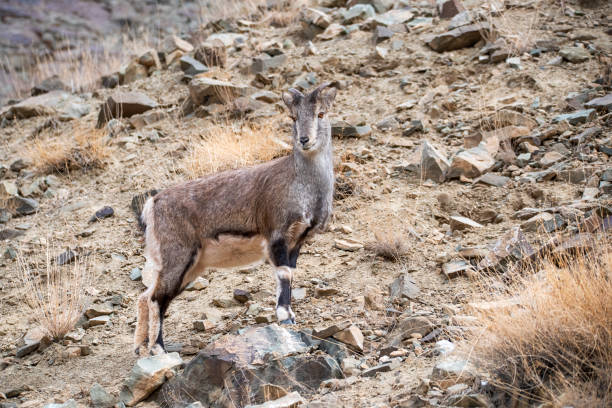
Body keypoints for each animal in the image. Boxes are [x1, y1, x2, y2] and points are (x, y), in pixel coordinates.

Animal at [133, 82, 340, 354]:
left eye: (321, 114)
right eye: (293, 117)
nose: (304, 140)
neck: (303, 185)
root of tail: (153, 205)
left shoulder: (297, 241)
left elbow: (291, 273)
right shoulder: (277, 236)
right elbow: (284, 274)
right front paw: (285, 316)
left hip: (189, 267)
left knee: (146, 296)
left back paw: (140, 348)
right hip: (178, 259)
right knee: (157, 299)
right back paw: (158, 348)